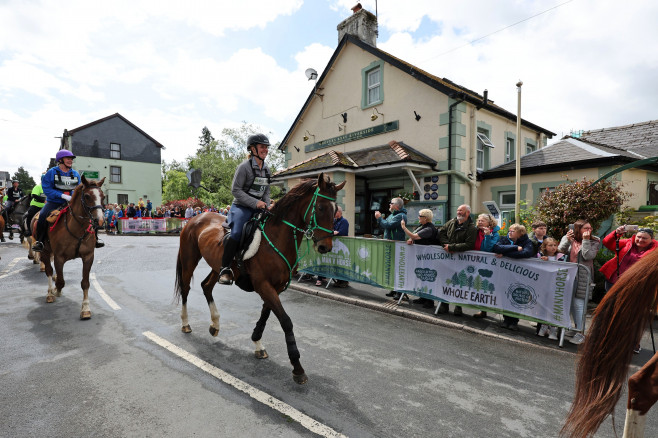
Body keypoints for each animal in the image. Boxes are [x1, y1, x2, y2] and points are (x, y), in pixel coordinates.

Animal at [40, 176, 105, 320]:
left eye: (103, 196)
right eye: (87, 196)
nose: (100, 221)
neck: (77, 228)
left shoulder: (88, 257)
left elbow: (85, 283)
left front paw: (85, 309)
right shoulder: (59, 258)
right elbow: (60, 281)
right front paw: (56, 291)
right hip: (45, 251)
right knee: (48, 271)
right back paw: (50, 293)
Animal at [174, 173, 346, 384]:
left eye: (336, 210)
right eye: (320, 207)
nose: (325, 247)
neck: (277, 237)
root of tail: (195, 217)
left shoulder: (275, 287)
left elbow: (265, 314)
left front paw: (257, 342)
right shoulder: (264, 285)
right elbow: (285, 321)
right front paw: (297, 367)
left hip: (217, 267)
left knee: (206, 286)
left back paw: (215, 324)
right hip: (189, 260)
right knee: (186, 288)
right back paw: (185, 324)